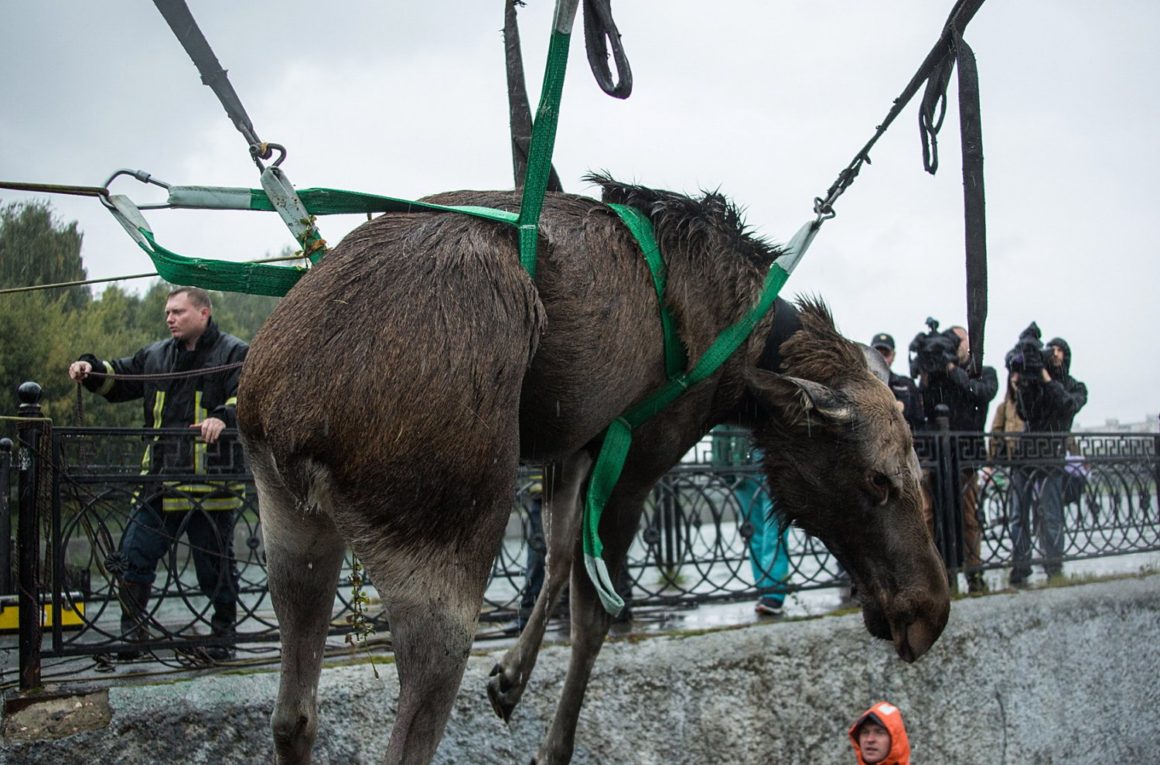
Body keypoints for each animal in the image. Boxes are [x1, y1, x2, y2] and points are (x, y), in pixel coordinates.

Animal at [237, 176, 951, 761]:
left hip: (289, 523)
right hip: (446, 542)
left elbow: (555, 554)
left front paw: (511, 677)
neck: (742, 361)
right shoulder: (639, 453)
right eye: (878, 479)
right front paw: (551, 744)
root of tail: (290, 412)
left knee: (293, 718)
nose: (930, 612)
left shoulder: (576, 445)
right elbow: (594, 613)